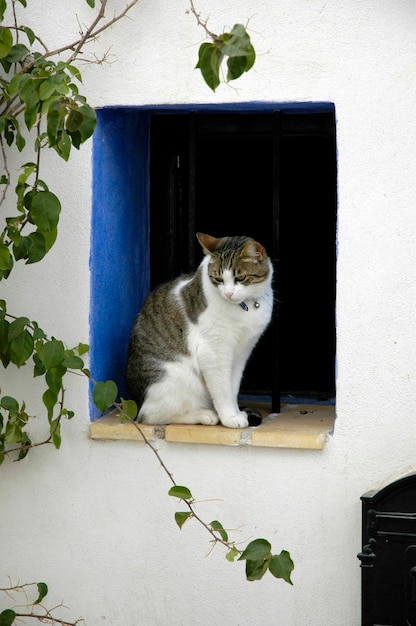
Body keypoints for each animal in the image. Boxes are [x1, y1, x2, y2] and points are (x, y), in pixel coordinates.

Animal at [125, 232, 274, 426]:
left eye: (240, 278)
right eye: (219, 279)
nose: (228, 293)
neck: (247, 305)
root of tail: (135, 401)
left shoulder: (242, 351)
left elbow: (232, 386)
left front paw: (235, 411)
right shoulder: (213, 352)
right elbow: (222, 389)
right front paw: (229, 418)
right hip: (173, 378)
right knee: (150, 416)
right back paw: (204, 415)